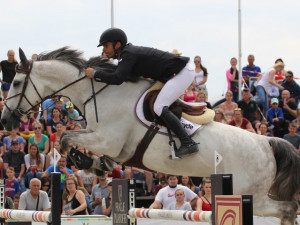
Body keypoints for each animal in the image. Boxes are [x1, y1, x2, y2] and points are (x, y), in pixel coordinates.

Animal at [1, 46, 298, 224]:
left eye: (17, 82)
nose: (5, 120)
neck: (98, 92)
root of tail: (268, 142)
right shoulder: (100, 136)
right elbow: (69, 137)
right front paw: (97, 164)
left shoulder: (108, 140)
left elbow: (65, 139)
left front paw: (89, 162)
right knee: (288, 208)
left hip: (249, 194)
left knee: (287, 208)